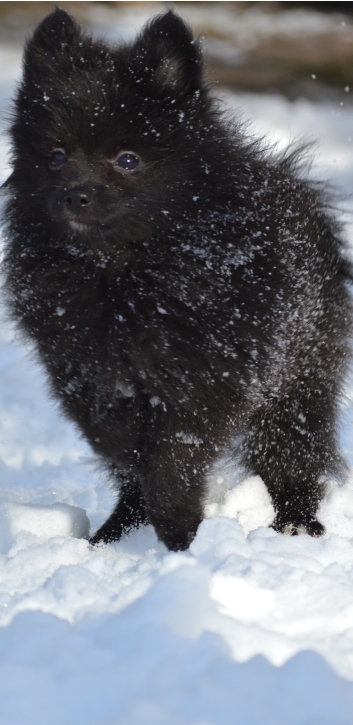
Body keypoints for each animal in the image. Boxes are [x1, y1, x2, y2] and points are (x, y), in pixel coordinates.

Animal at [1, 8, 350, 548]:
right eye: (56, 156)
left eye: (127, 159)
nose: (76, 194)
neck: (123, 272)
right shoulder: (82, 367)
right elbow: (118, 440)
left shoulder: (206, 374)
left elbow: (172, 456)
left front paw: (180, 533)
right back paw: (116, 532)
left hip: (297, 378)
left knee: (292, 453)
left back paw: (296, 522)